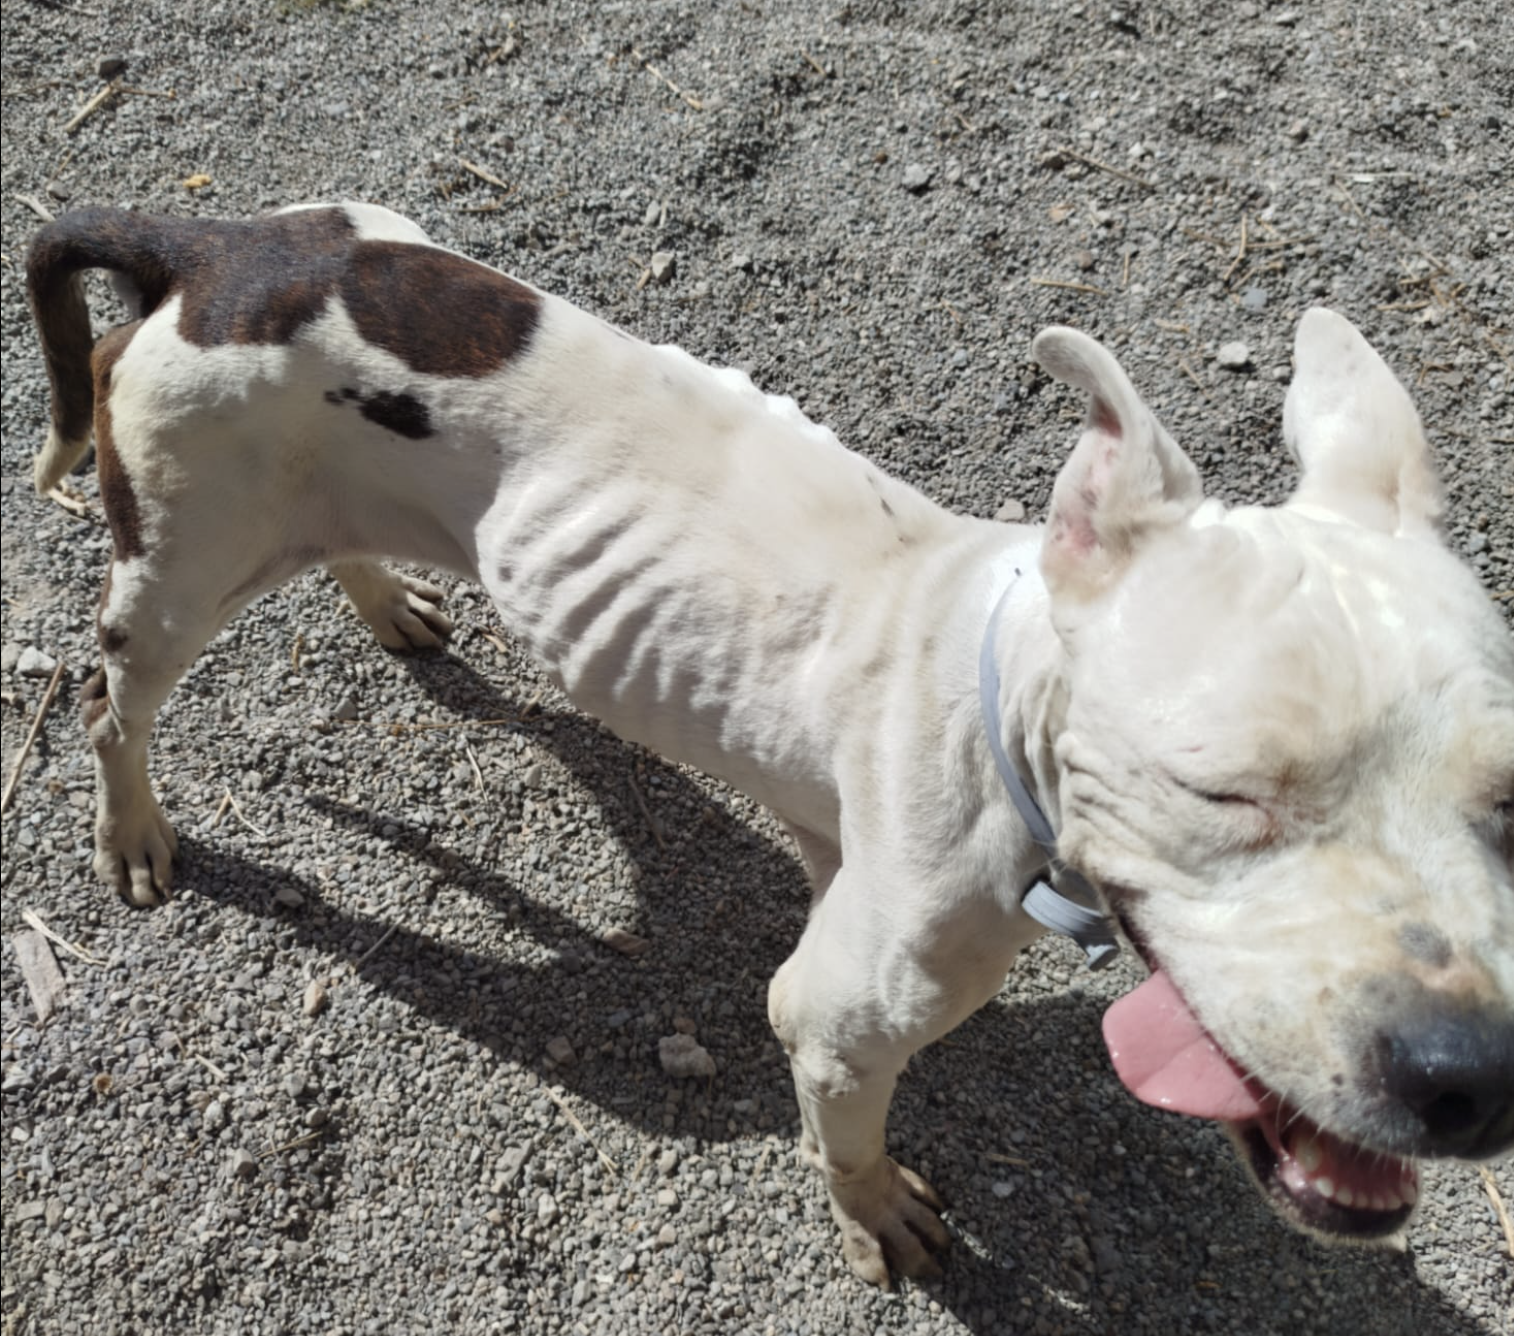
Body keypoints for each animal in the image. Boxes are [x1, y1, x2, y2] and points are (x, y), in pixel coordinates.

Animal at [23, 199, 1514, 1278]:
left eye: (1505, 800)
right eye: (1220, 791)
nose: (1471, 1080)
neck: (993, 687)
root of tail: (209, 251)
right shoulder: (836, 1017)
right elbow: (845, 1127)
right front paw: (874, 1214)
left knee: (337, 542)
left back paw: (387, 599)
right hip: (175, 568)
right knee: (111, 704)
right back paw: (133, 829)